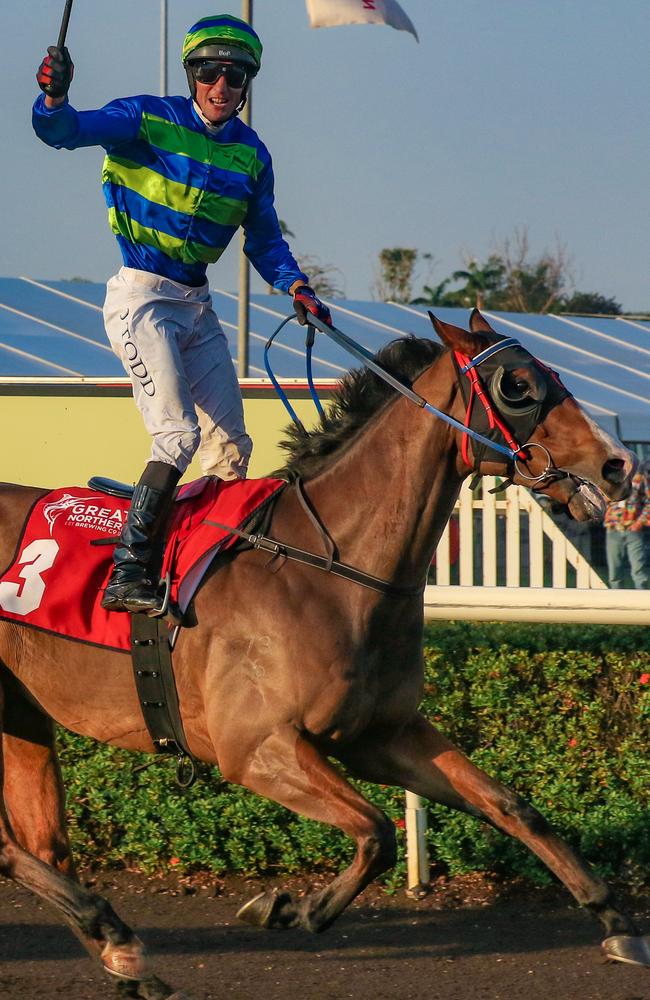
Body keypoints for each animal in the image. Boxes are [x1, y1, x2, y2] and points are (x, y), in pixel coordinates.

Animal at [0, 312, 644, 1000]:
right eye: (517, 386)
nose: (618, 464)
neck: (329, 567)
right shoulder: (255, 748)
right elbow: (377, 832)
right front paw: (289, 907)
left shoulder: (379, 733)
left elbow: (509, 806)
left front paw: (616, 920)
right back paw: (118, 938)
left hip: (23, 718)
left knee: (42, 844)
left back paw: (120, 955)